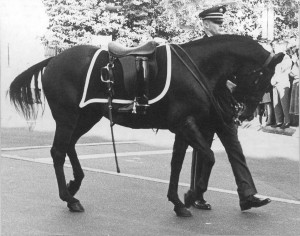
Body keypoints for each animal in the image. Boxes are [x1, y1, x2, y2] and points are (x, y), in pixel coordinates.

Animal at [8, 34, 282, 217]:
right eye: (263, 77)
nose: (246, 113)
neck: (196, 66)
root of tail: (53, 59)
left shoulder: (183, 127)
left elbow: (177, 164)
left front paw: (178, 201)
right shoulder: (185, 124)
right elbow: (209, 157)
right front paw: (190, 196)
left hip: (86, 117)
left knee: (69, 147)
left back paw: (74, 185)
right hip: (68, 117)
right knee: (57, 151)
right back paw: (69, 197)